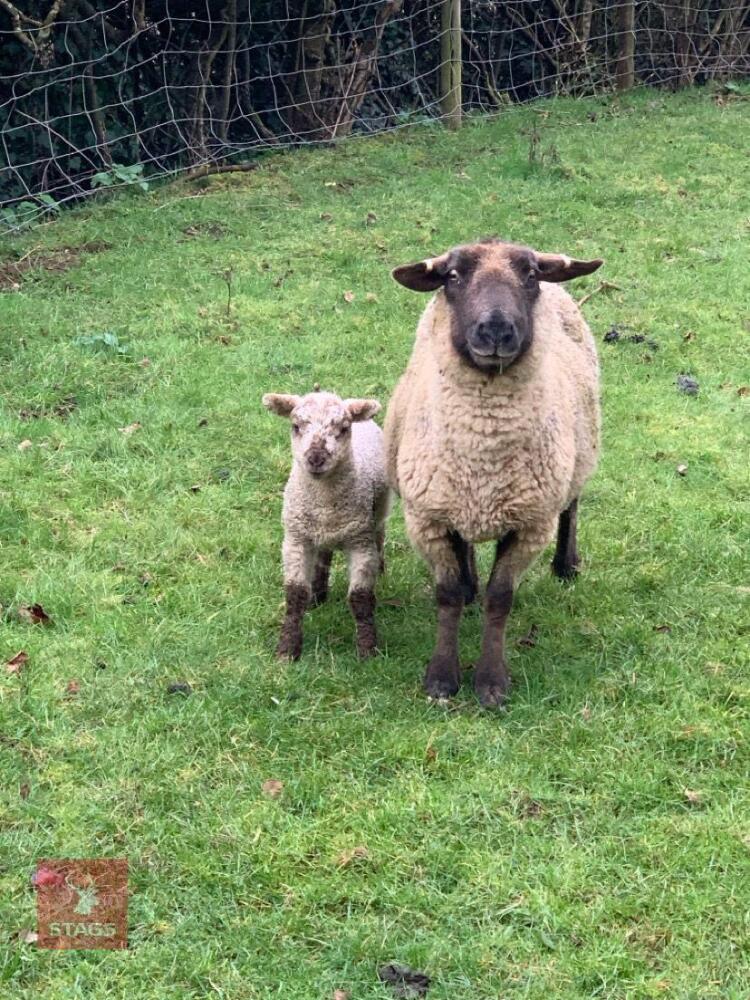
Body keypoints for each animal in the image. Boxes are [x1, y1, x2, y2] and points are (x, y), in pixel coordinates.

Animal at [263, 389, 391, 661]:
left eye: (343, 428)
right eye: (296, 426)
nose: (315, 458)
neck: (324, 501)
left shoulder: (360, 542)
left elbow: (360, 597)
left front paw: (367, 649)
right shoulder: (296, 539)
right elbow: (295, 595)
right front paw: (287, 650)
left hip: (380, 511)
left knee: (380, 537)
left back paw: (381, 569)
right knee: (323, 555)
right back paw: (318, 593)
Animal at [384, 238, 603, 708]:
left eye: (531, 275)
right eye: (452, 276)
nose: (497, 331)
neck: (483, 451)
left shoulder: (530, 524)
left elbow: (501, 599)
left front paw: (491, 683)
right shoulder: (428, 518)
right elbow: (446, 596)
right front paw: (441, 678)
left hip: (579, 451)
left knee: (572, 504)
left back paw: (566, 565)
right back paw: (471, 584)